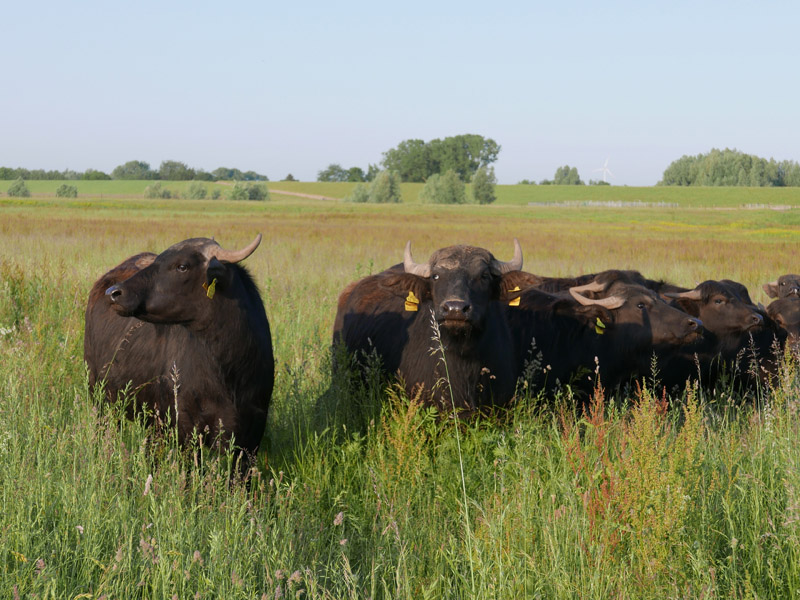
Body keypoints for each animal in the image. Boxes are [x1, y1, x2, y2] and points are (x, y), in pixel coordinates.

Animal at [83, 236, 272, 460]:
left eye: (182, 266)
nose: (114, 293)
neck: (228, 371)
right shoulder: (186, 429)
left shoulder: (250, 436)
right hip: (99, 396)